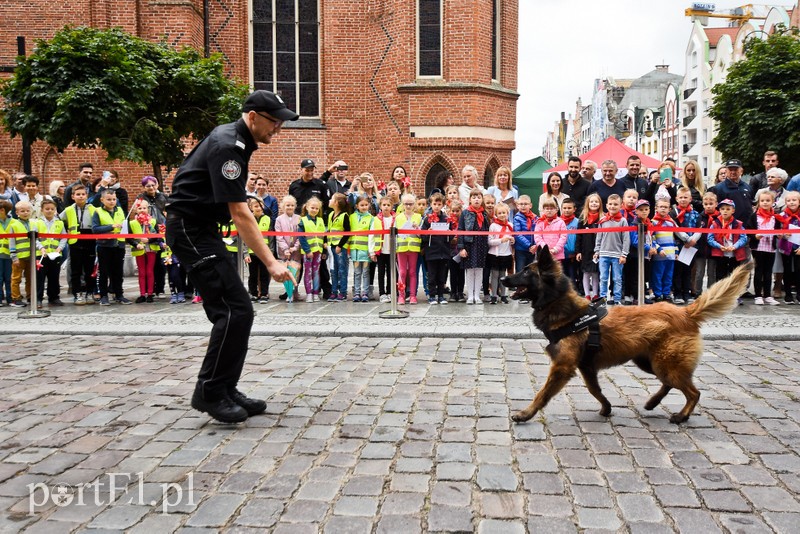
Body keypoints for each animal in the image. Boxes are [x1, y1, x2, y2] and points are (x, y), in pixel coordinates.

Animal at [504, 247, 752, 428]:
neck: (566, 309)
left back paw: (681, 416)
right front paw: (606, 408)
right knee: (670, 384)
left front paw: (525, 414)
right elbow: (595, 390)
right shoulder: (586, 367)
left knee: (693, 392)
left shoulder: (562, 367)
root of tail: (686, 312)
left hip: (664, 363)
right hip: (650, 362)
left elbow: (542, 394)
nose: (505, 281)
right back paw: (652, 403)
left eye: (526, 272)